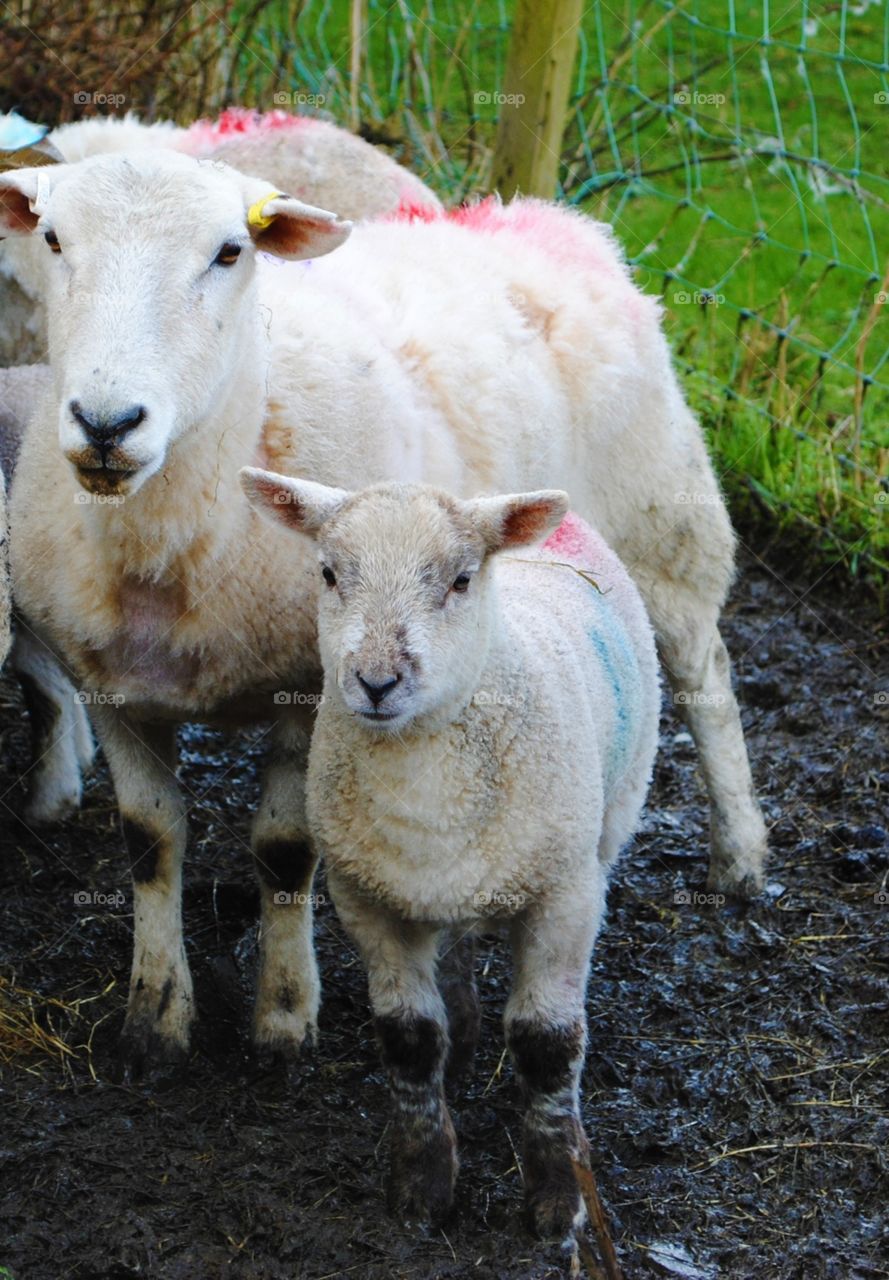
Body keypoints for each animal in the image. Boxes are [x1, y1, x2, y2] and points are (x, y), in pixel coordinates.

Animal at [1, 149, 766, 1078]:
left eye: (228, 252)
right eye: (51, 238)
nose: (107, 423)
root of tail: (544, 219)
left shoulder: (312, 689)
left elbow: (283, 852)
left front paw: (284, 1016)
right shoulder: (117, 689)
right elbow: (150, 841)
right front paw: (156, 1016)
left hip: (665, 521)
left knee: (706, 677)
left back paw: (739, 852)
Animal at [240, 472, 660, 1234]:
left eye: (461, 579)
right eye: (328, 573)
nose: (376, 682)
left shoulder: (565, 896)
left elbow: (547, 1044)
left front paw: (557, 1198)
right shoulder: (364, 898)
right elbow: (409, 1038)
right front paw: (422, 1185)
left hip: (611, 817)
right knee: (455, 948)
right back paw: (462, 1038)